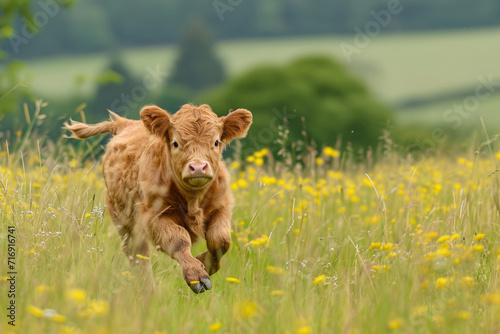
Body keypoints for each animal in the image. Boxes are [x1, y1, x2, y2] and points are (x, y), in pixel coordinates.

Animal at [65, 103, 254, 292]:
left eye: (216, 142)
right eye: (175, 142)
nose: (198, 167)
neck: (192, 199)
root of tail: (126, 124)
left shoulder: (222, 206)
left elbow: (220, 240)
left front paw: (204, 264)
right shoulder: (153, 216)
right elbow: (179, 240)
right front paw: (197, 275)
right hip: (126, 223)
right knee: (138, 258)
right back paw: (149, 293)